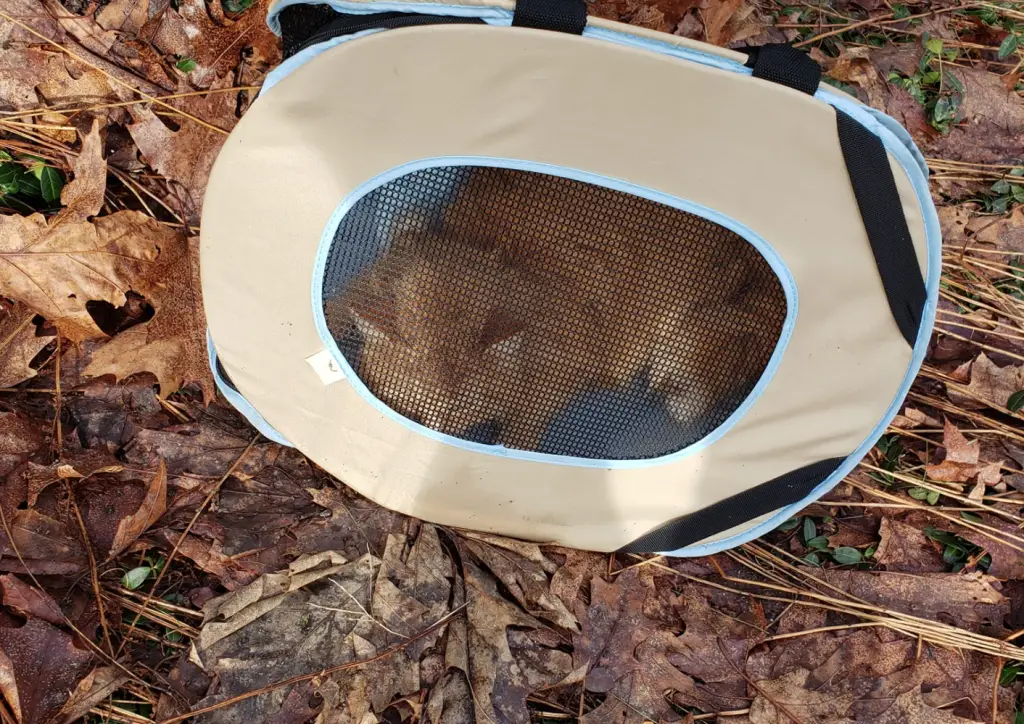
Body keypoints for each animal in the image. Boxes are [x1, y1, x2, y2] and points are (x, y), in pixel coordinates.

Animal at [323, 169, 778, 452]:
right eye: (417, 407)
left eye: (464, 412)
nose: (439, 440)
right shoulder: (379, 268)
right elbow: (334, 307)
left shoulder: (564, 371)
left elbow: (524, 425)